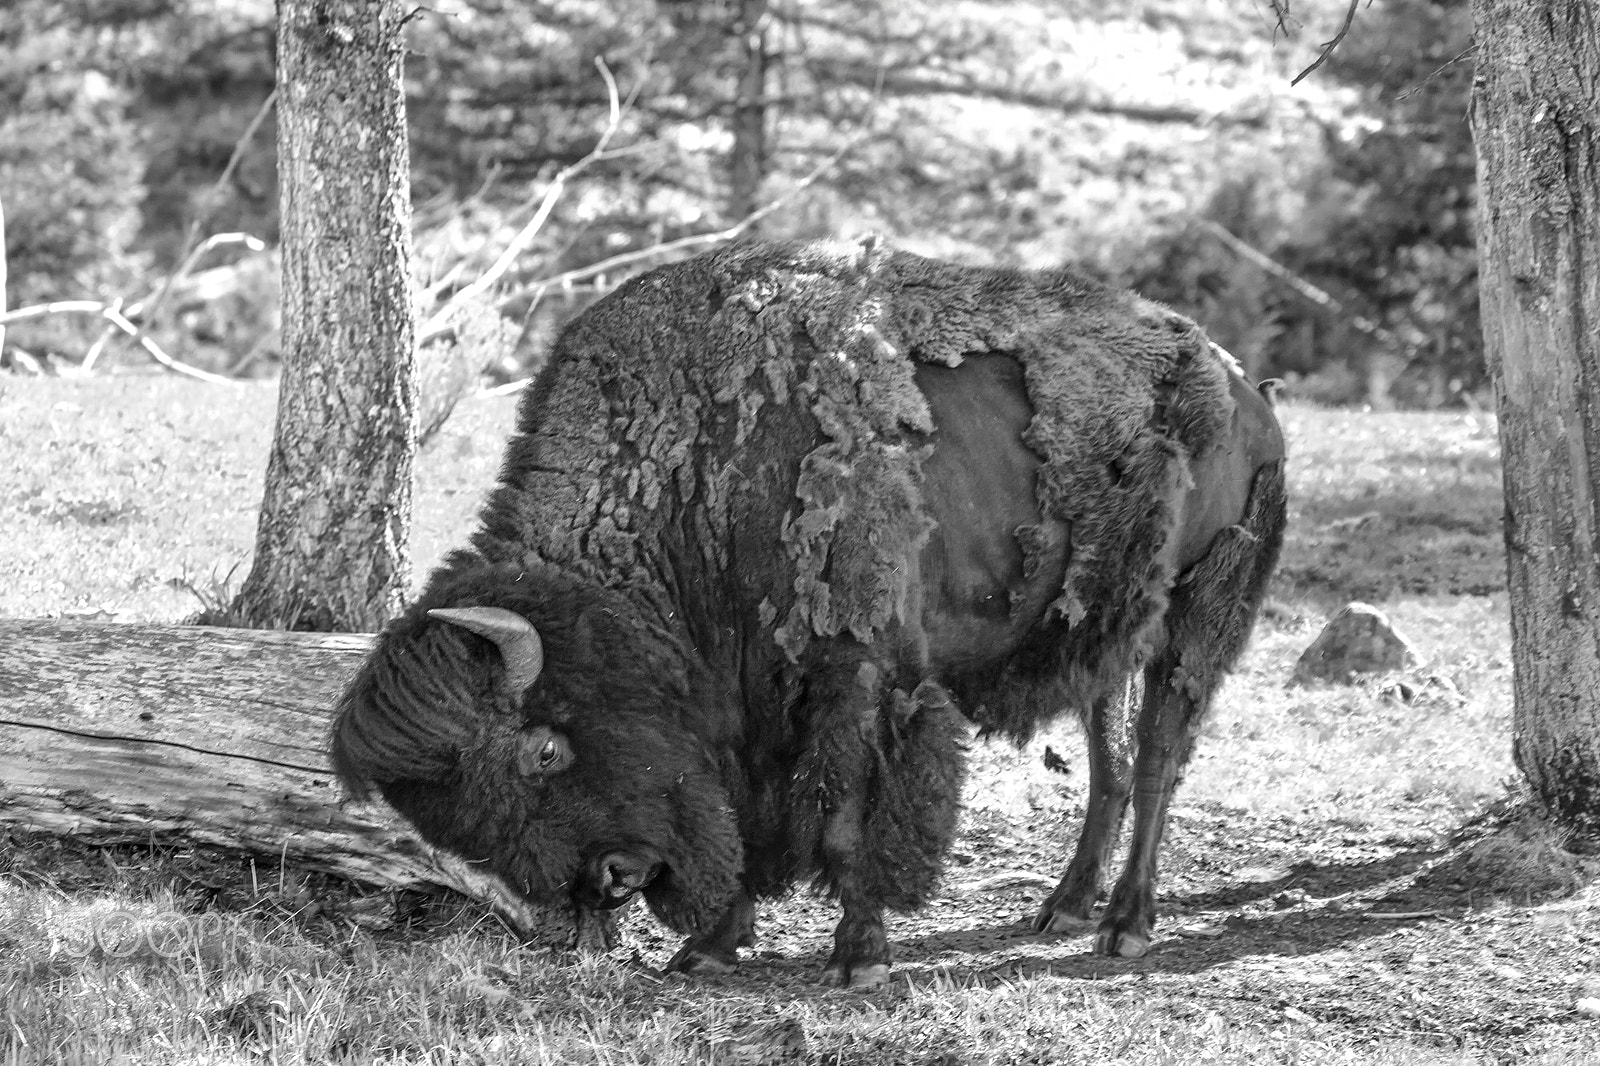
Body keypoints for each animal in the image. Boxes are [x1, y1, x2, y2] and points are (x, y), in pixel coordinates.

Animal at [331, 237, 1286, 988]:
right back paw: (1066, 907)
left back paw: (1126, 924)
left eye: (543, 750)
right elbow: (745, 813)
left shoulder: (856, 672)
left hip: (1200, 613)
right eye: (453, 825)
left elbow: (842, 817)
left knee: (1158, 754)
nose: (609, 878)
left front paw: (857, 958)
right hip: (1103, 622)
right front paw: (709, 949)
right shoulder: (736, 700)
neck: (700, 464)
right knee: (1108, 758)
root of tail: (1246, 389)